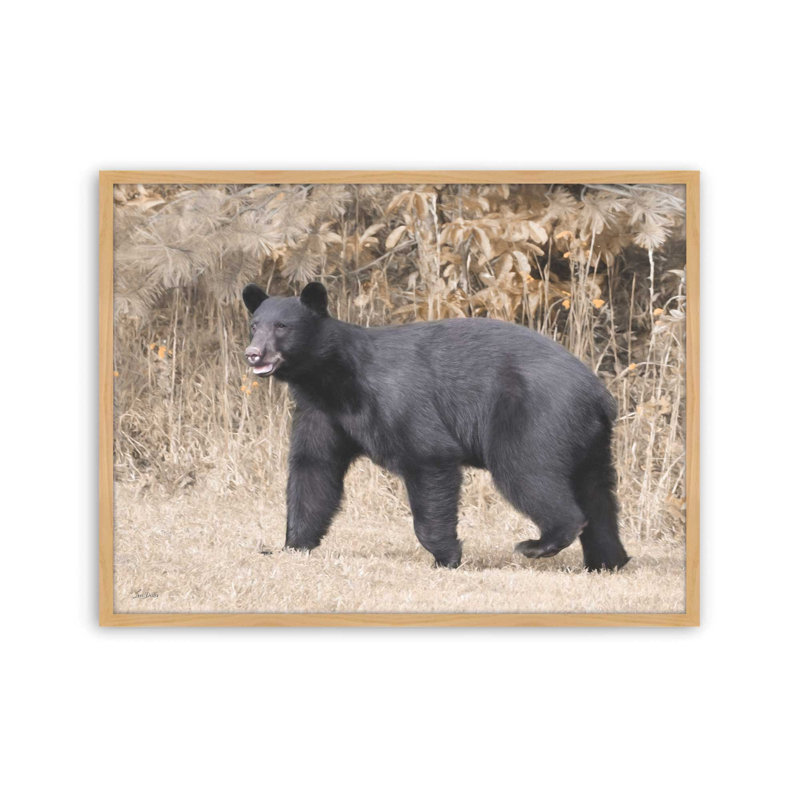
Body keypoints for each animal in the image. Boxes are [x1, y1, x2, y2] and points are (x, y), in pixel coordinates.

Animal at [242, 281, 630, 571]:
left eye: (282, 326)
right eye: (255, 325)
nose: (253, 353)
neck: (332, 379)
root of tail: (600, 394)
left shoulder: (397, 399)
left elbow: (428, 456)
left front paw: (446, 556)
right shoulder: (321, 413)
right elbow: (313, 469)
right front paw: (292, 545)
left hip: (537, 417)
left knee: (526, 472)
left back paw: (538, 544)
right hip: (590, 440)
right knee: (597, 494)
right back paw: (608, 561)